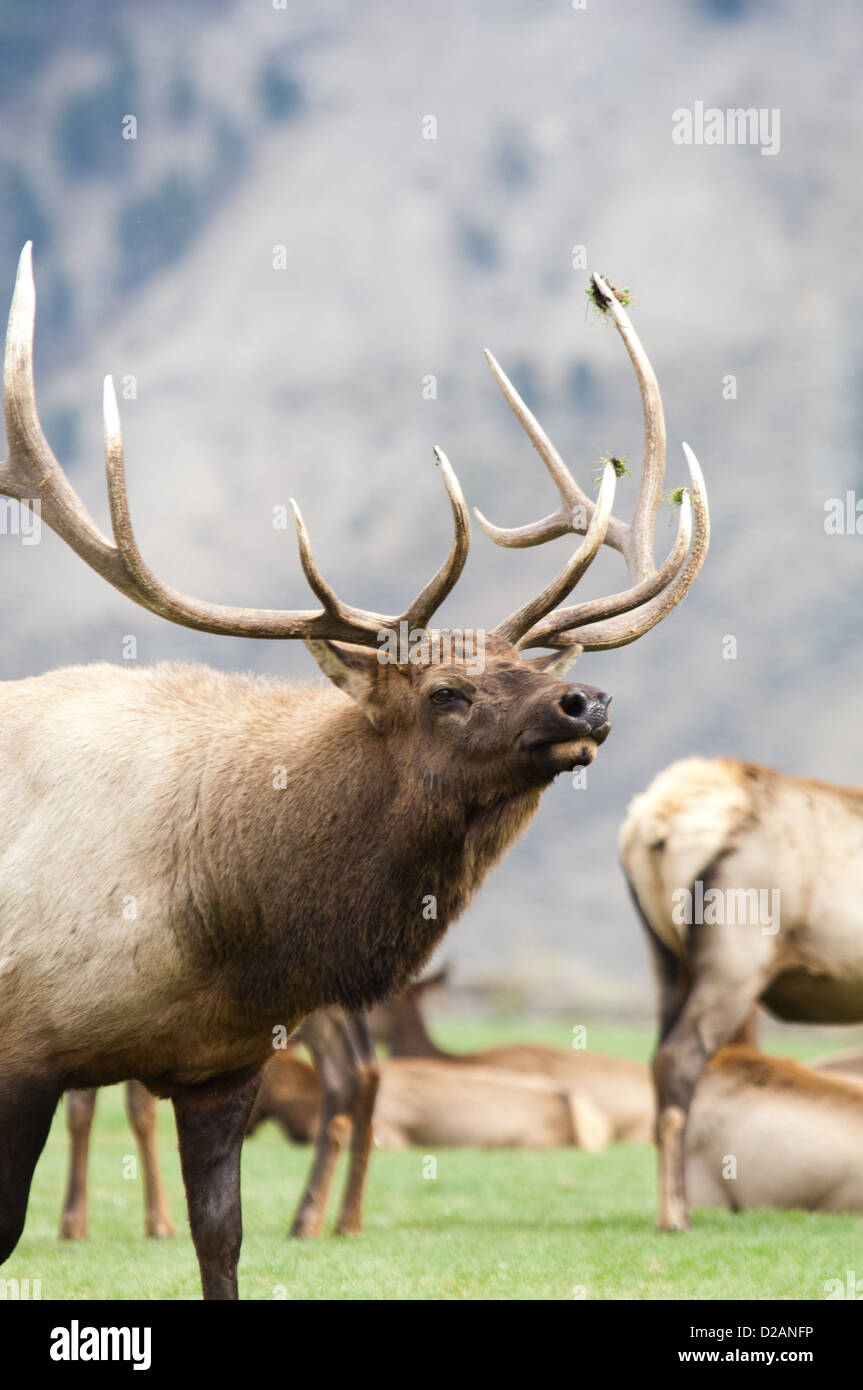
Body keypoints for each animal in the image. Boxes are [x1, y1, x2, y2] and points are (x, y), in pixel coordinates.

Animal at [0, 244, 705, 1295]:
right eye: (446, 691)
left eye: (532, 670)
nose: (587, 702)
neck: (218, 918)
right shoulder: (24, 1051)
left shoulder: (223, 1063)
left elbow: (221, 1239)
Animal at [619, 761, 863, 1228]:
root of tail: (655, 823)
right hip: (735, 962)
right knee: (678, 1058)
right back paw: (675, 1217)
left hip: (669, 961)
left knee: (659, 1062)